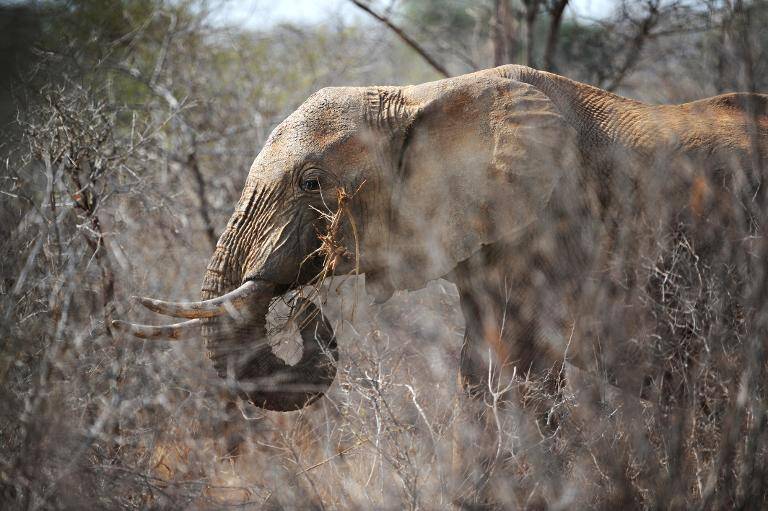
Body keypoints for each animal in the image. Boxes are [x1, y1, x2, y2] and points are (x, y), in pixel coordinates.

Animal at [115, 65, 768, 416]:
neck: (422, 95)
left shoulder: (554, 227)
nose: (304, 306)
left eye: (312, 183)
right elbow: (477, 369)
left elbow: (527, 372)